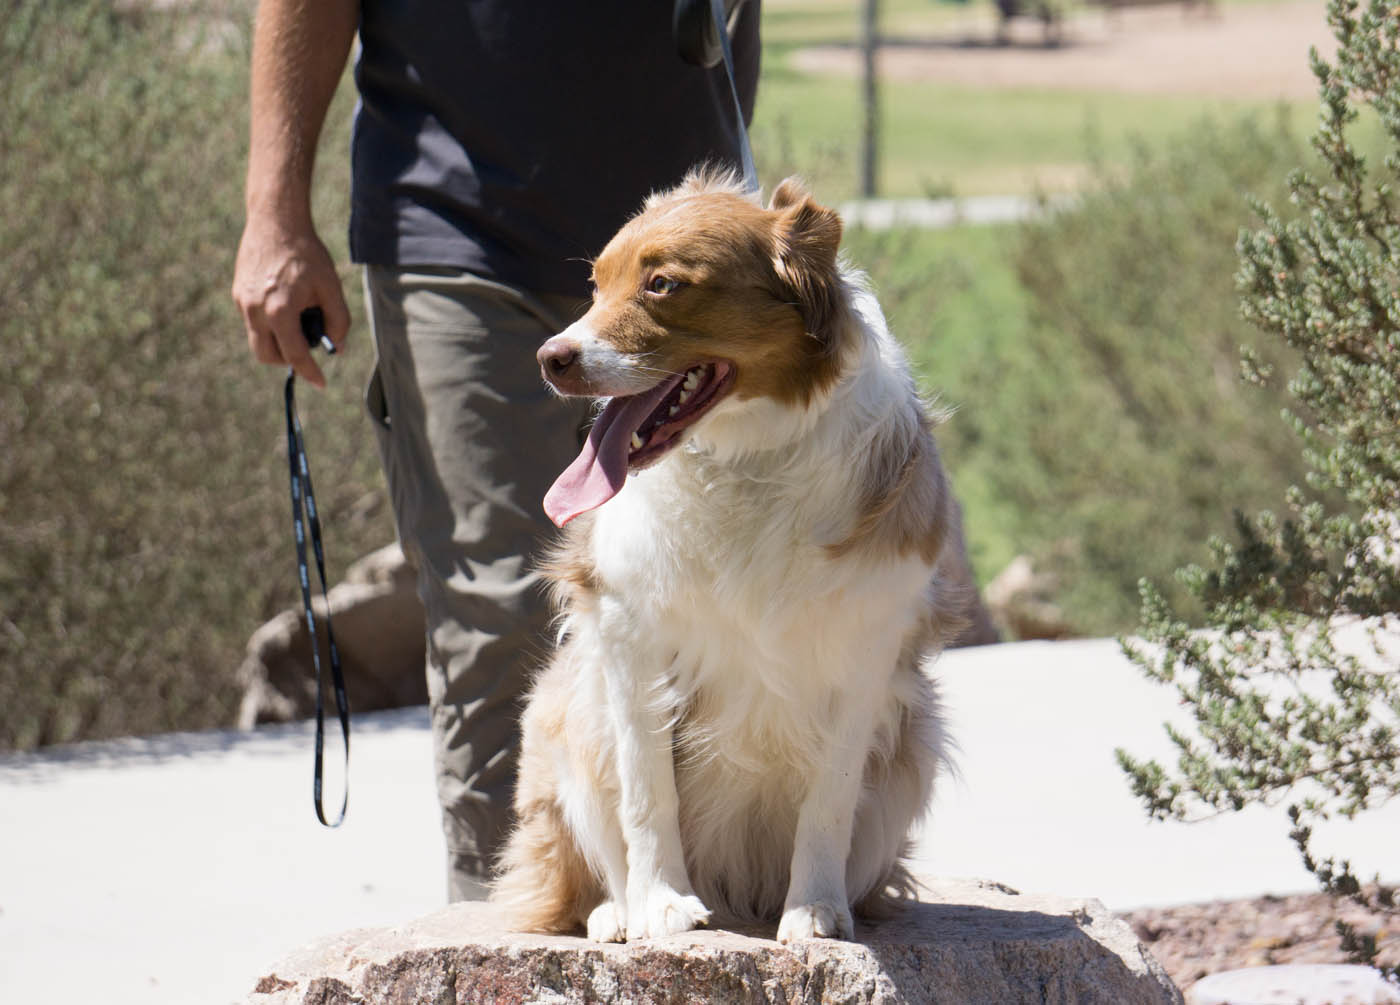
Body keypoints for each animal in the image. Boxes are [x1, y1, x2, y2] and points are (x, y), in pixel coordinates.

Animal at [495, 169, 974, 946]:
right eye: (596, 285)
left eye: (662, 284)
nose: (551, 358)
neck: (746, 455)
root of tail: (738, 890)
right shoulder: (630, 632)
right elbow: (646, 792)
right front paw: (659, 904)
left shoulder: (866, 648)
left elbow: (829, 800)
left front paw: (815, 910)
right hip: (564, 710)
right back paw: (614, 913)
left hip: (916, 739)